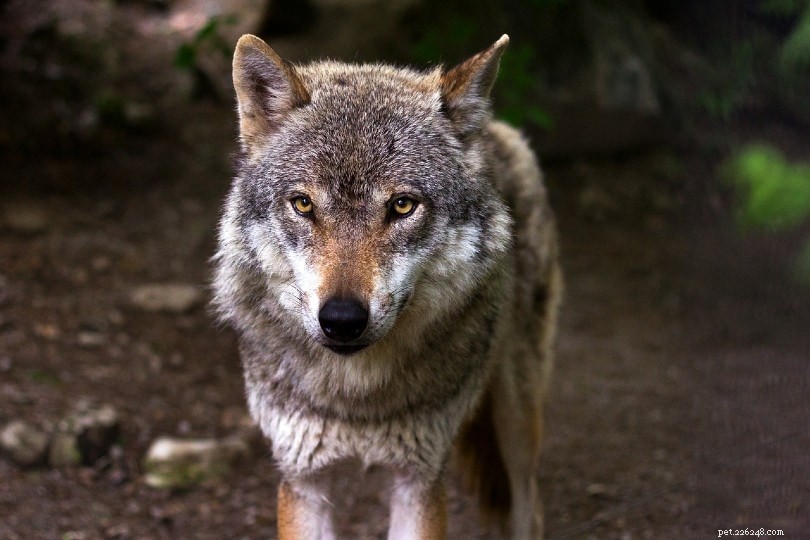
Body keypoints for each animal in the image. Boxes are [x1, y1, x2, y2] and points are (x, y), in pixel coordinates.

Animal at [212, 32, 562, 539]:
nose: (342, 320)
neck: (357, 398)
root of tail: (493, 128)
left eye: (401, 206)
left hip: (517, 419)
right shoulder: (303, 480)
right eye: (303, 204)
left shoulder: (419, 480)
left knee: (528, 506)